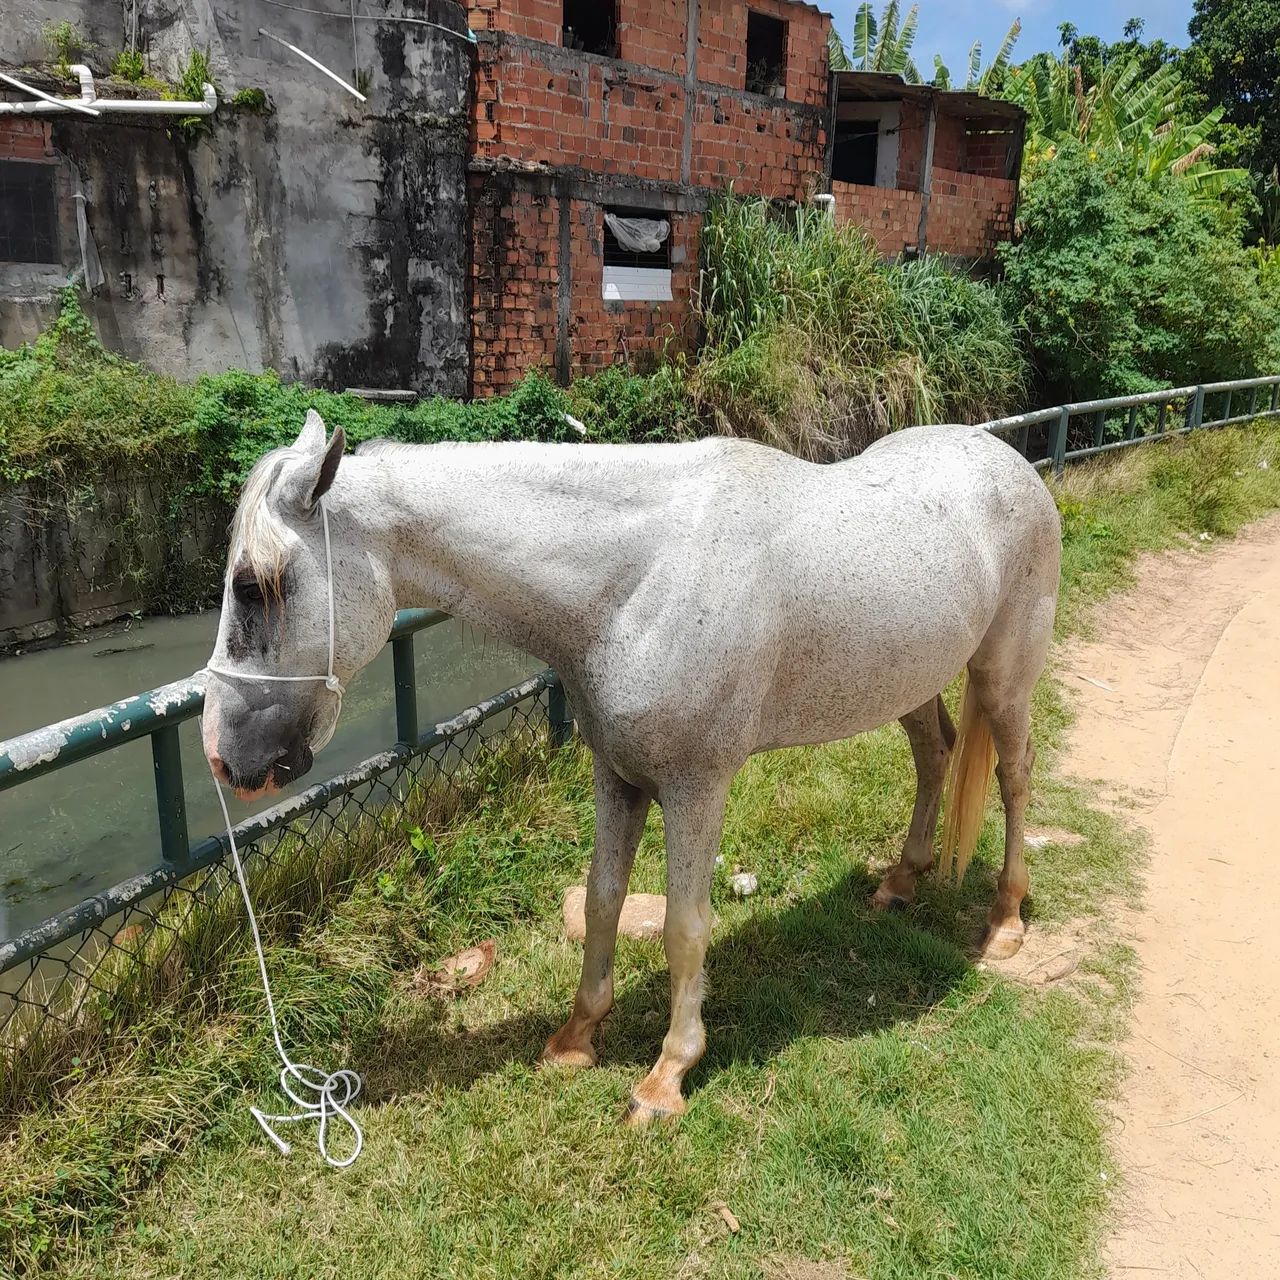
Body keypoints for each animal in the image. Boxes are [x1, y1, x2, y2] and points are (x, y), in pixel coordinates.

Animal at [202, 410, 1061, 1124]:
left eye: (253, 586)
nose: (222, 755)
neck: (635, 579)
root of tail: (1011, 464)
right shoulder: (617, 775)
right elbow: (603, 900)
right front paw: (576, 1036)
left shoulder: (695, 785)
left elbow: (685, 926)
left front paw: (667, 1076)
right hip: (908, 682)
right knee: (935, 753)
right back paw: (902, 881)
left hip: (1004, 678)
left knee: (1015, 777)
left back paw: (1005, 920)